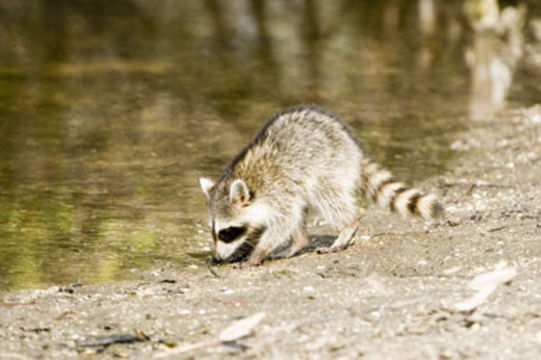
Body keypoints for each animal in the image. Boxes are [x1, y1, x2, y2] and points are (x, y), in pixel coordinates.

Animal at [199, 104, 442, 264]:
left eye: (226, 233)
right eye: (213, 231)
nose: (216, 257)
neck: (248, 183)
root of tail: (354, 148)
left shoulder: (278, 193)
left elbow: (283, 221)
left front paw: (259, 251)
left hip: (328, 166)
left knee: (326, 195)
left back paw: (348, 225)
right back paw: (299, 241)